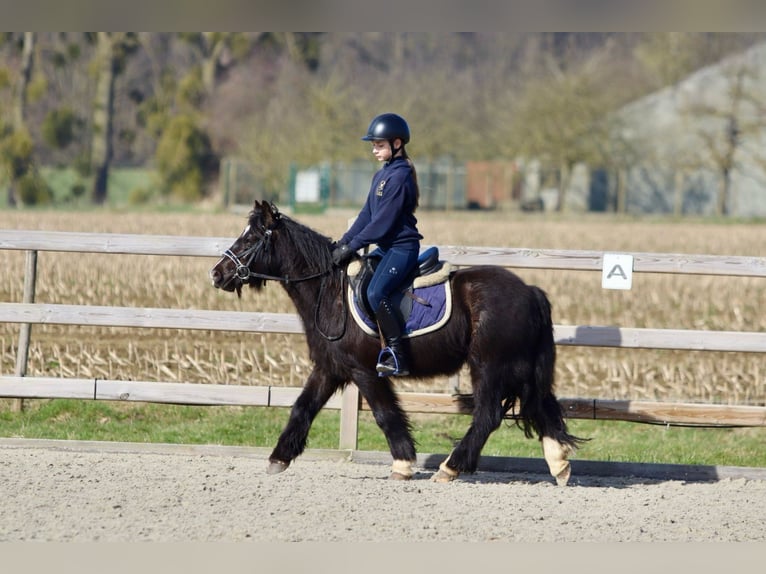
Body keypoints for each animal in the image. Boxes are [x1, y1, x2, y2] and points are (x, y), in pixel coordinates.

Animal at [210, 202, 584, 486]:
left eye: (252, 237)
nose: (217, 274)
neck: (329, 292)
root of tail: (530, 291)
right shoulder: (330, 368)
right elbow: (302, 408)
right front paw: (278, 458)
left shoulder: (365, 371)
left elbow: (385, 414)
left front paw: (403, 463)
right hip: (521, 367)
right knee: (541, 406)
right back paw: (560, 466)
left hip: (490, 366)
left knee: (488, 415)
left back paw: (451, 467)